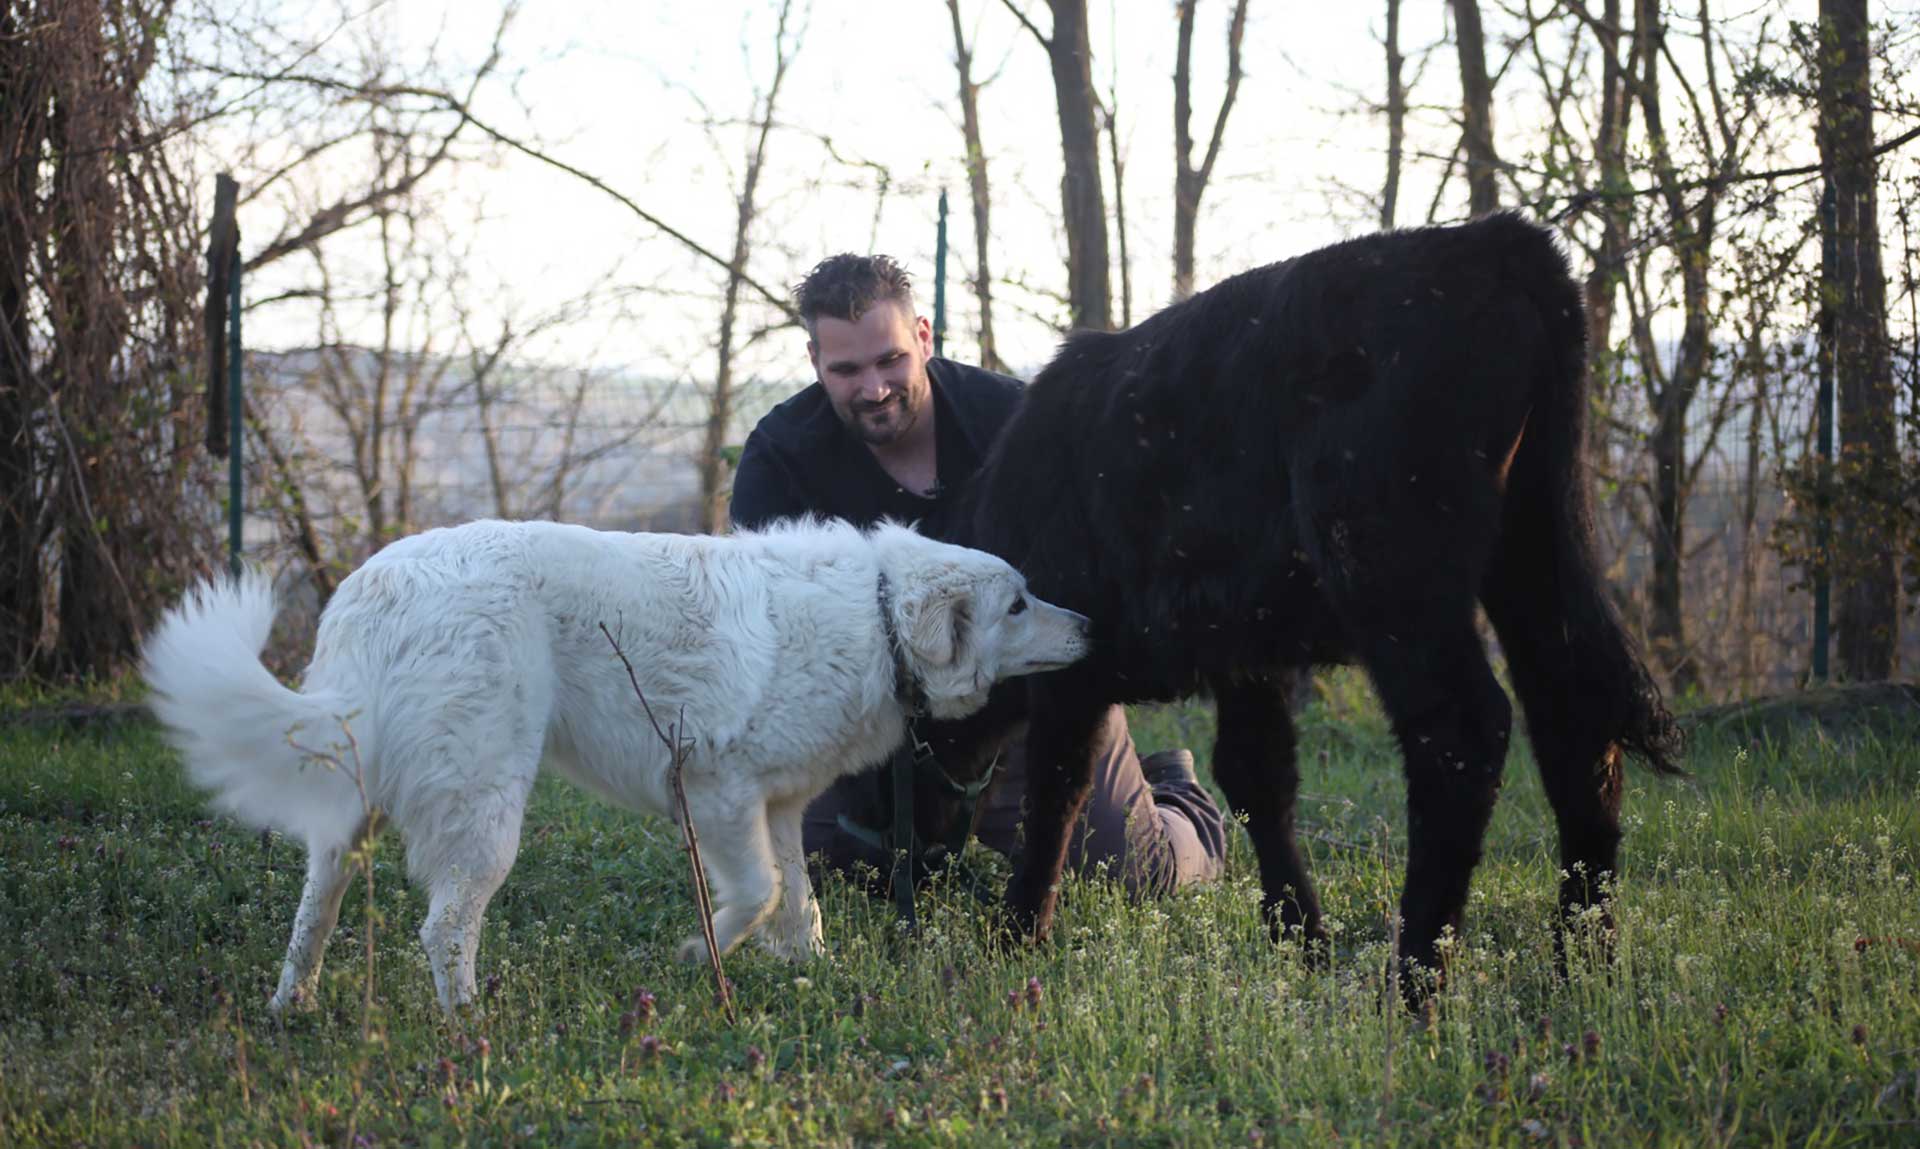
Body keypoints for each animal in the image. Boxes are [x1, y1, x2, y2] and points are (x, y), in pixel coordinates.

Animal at [142, 518, 1090, 1014]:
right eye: (1017, 603)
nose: (1089, 623)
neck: (883, 617)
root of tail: (375, 590)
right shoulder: (715, 789)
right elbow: (760, 894)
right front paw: (696, 954)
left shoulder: (778, 808)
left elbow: (800, 906)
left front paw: (817, 981)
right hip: (487, 805)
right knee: (445, 927)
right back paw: (470, 1031)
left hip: (356, 814)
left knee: (316, 909)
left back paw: (291, 1004)